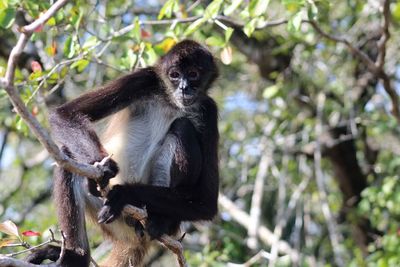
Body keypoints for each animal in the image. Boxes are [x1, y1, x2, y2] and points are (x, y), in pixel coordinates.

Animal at [25, 40, 219, 267]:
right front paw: (103, 169)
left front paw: (125, 193)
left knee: (183, 127)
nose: (184, 88)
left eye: (193, 74)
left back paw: (161, 221)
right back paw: (75, 258)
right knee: (67, 155)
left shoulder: (208, 109)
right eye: (175, 75)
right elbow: (65, 114)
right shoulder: (145, 79)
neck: (172, 102)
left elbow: (205, 204)